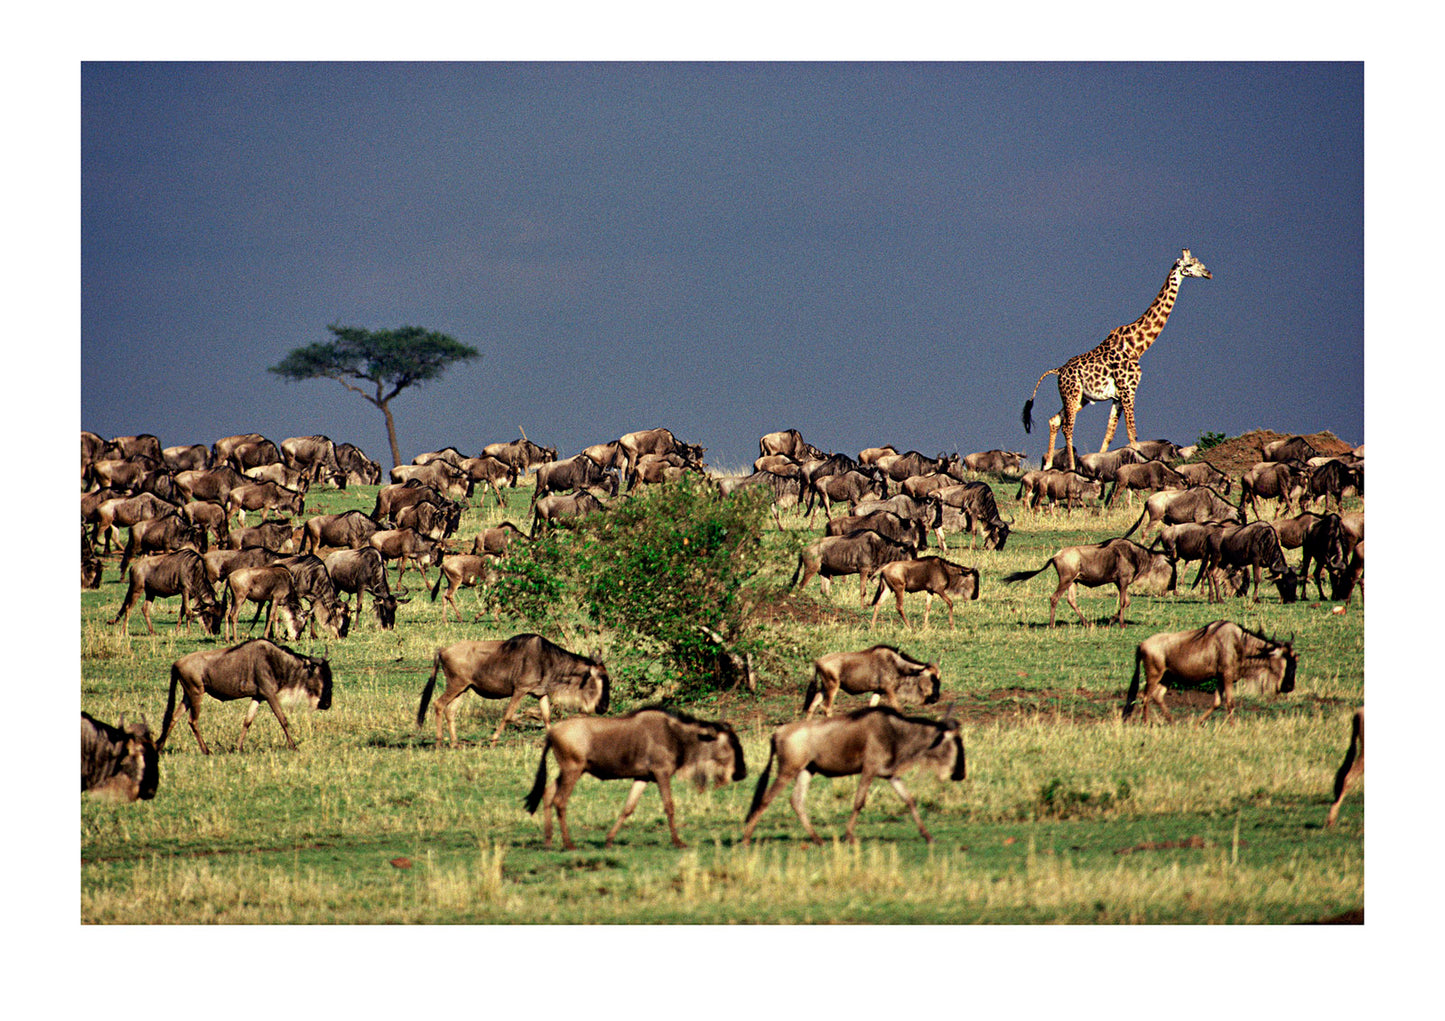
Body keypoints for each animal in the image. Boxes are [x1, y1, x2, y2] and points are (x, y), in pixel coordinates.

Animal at [1021, 248, 1211, 472]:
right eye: (1189, 265)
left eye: (1199, 262)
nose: (1208, 273)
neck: (1137, 346)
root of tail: (1059, 370)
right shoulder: (1128, 390)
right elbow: (1132, 434)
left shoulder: (1117, 397)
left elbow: (1109, 436)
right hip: (1072, 394)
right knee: (1067, 426)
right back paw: (1071, 466)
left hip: (1080, 398)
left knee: (1054, 420)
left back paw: (1049, 465)